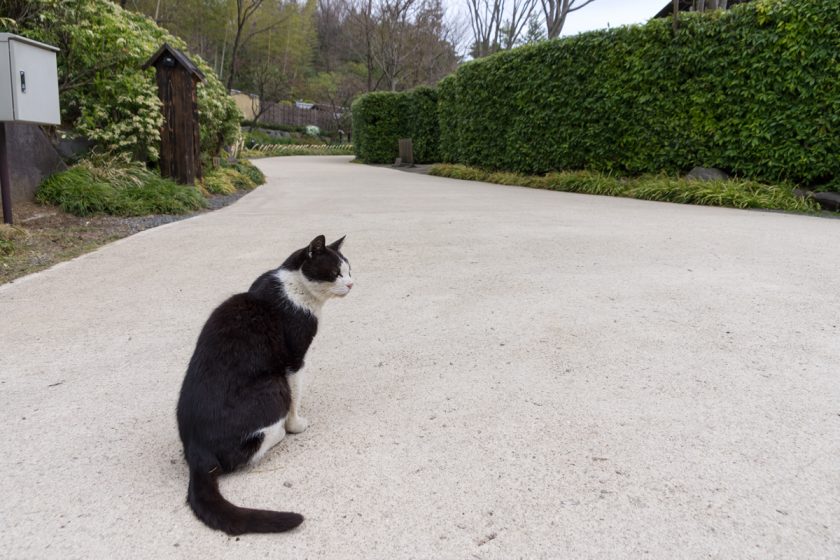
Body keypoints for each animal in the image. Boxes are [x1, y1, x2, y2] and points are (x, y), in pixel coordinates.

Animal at [177, 234, 354, 536]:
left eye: (350, 270)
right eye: (334, 273)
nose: (352, 283)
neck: (294, 286)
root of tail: (196, 450)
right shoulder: (293, 359)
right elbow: (296, 395)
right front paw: (296, 426)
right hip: (273, 387)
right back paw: (279, 433)